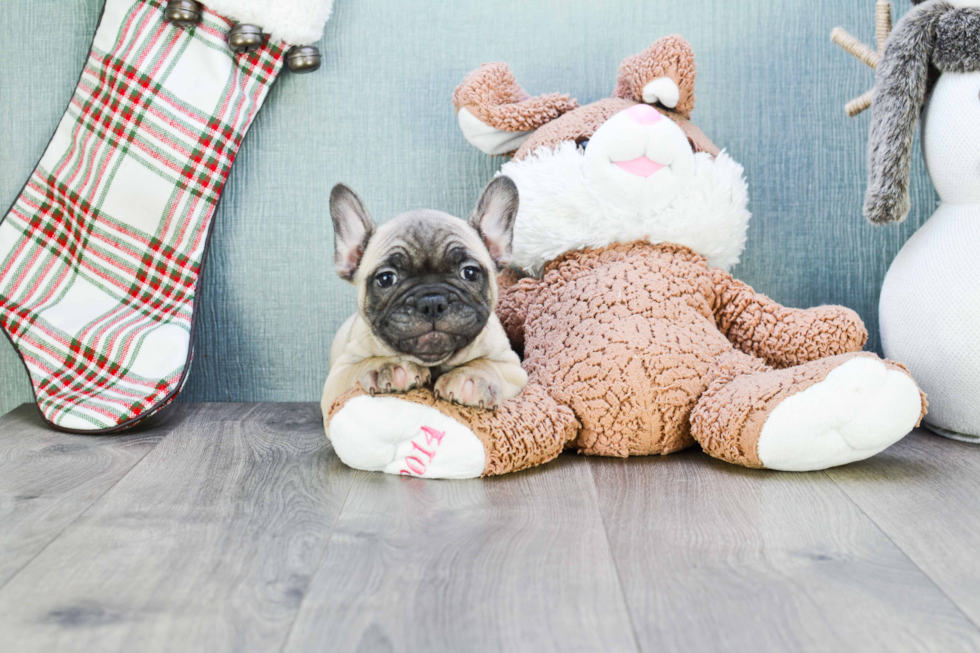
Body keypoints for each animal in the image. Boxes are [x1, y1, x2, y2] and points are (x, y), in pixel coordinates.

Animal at [322, 176, 528, 430]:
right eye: (386, 279)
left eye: (469, 272)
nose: (432, 302)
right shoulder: (336, 380)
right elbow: (361, 365)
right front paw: (388, 367)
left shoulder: (512, 367)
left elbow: (486, 364)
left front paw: (470, 378)